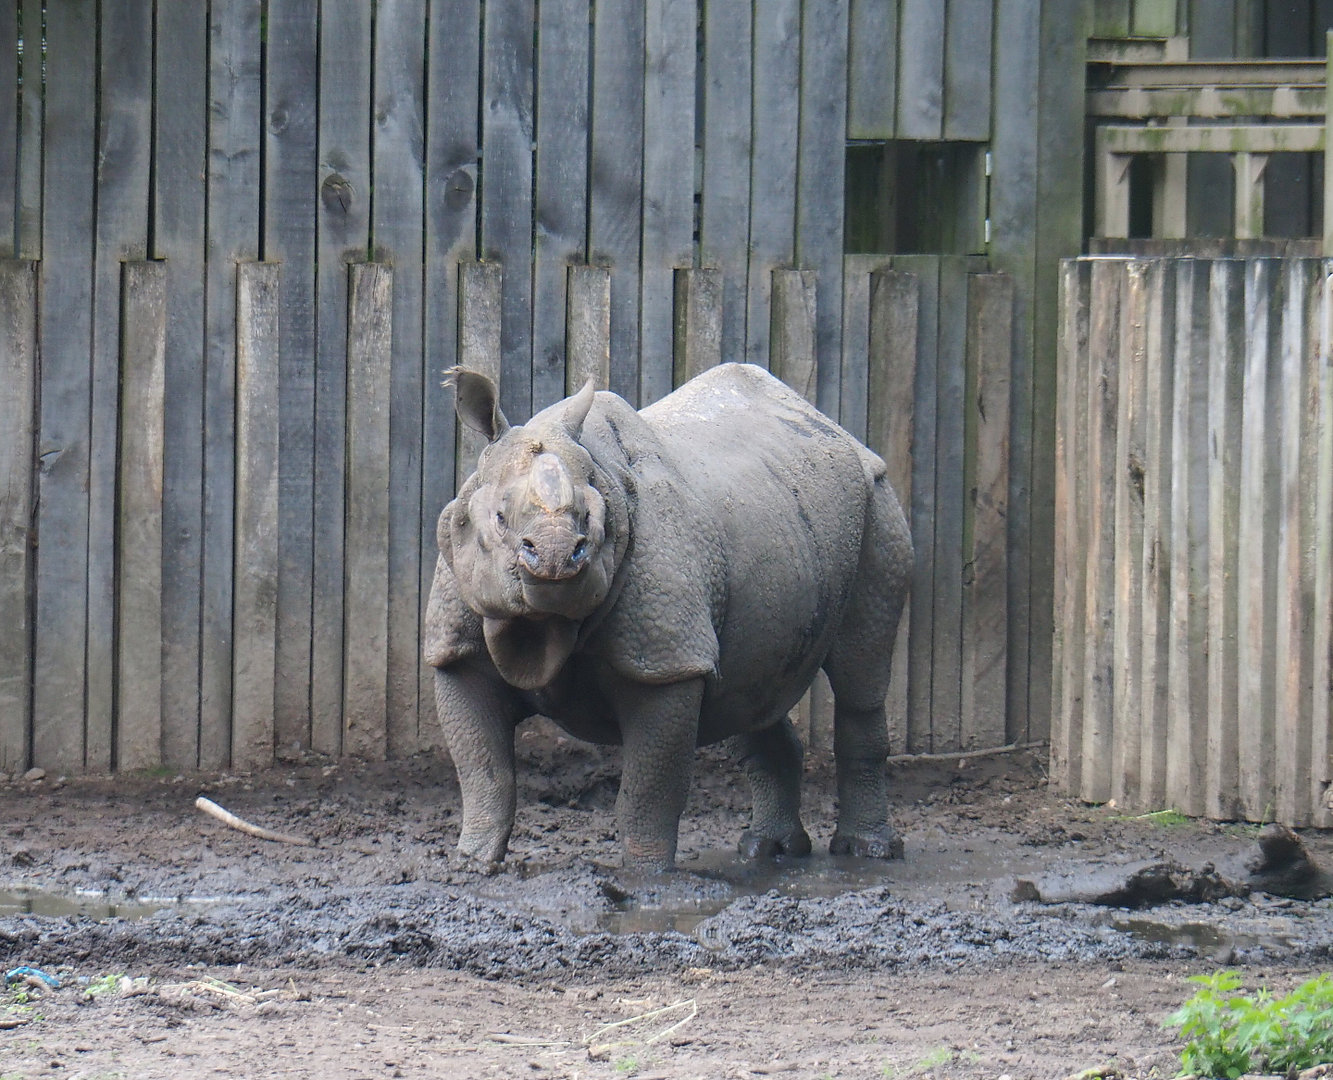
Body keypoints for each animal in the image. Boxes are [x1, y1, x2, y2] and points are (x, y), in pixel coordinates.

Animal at [424, 362, 912, 872]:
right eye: (499, 518)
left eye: (591, 520)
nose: (558, 558)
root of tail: (836, 430)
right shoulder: (456, 648)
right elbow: (483, 769)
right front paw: (471, 863)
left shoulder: (665, 659)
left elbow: (649, 786)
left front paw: (648, 875)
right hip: (779, 517)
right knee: (747, 686)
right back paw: (768, 851)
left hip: (876, 501)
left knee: (859, 674)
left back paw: (868, 850)